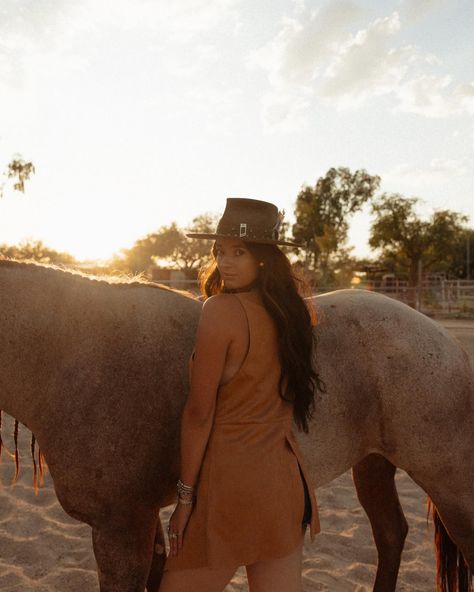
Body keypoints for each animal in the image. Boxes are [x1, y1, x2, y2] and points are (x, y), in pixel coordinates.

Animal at [0, 260, 472, 592]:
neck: (77, 359)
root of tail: (444, 340)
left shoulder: (122, 527)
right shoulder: (144, 520)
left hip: (449, 483)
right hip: (373, 464)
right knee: (391, 534)